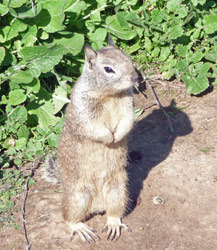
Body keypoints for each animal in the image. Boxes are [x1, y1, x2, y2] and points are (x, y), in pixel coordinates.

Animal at [44, 35, 138, 242]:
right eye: (108, 69)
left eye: (126, 57)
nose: (136, 77)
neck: (110, 95)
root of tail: (97, 207)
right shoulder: (83, 110)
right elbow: (93, 127)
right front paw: (109, 138)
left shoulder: (128, 105)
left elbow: (128, 120)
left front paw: (118, 135)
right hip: (78, 196)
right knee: (68, 217)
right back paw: (80, 228)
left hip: (118, 190)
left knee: (114, 212)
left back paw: (113, 223)